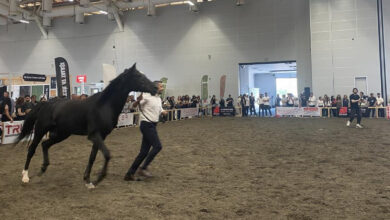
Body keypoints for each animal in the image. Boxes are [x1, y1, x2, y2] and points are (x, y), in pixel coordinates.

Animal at [15, 63, 157, 187]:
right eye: (138, 76)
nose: (155, 88)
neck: (104, 106)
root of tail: (45, 103)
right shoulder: (94, 135)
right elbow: (107, 154)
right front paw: (98, 179)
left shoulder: (101, 136)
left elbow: (92, 157)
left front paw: (88, 181)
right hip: (41, 130)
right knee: (32, 149)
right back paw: (25, 176)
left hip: (62, 134)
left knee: (45, 145)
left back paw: (43, 169)